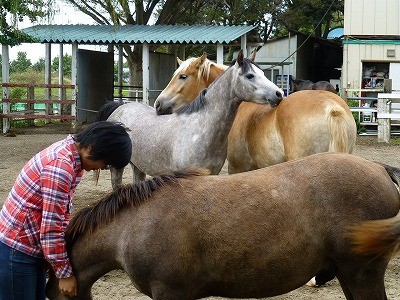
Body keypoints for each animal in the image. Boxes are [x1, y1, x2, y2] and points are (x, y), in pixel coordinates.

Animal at [96, 50, 282, 189]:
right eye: (250, 75)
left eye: (263, 73)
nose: (279, 94)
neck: (201, 128)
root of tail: (119, 108)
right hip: (117, 167)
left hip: (138, 165)